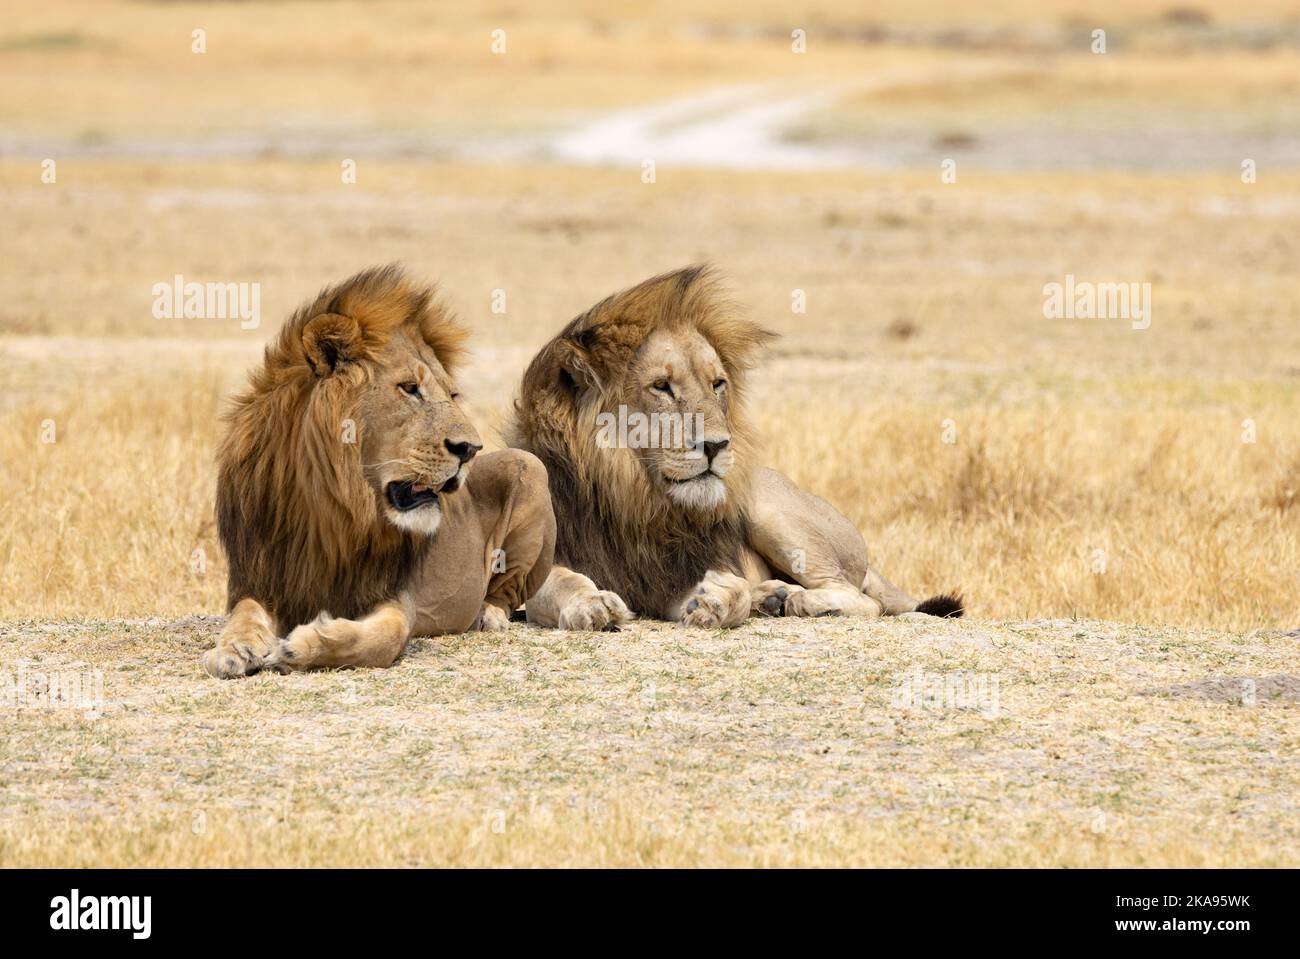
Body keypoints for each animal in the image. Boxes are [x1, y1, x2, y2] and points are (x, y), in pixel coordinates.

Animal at [201, 265, 553, 675]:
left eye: (451, 395)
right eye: (410, 388)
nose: (470, 449)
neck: (329, 508)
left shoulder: (394, 595)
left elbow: (384, 639)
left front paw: (302, 646)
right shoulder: (259, 579)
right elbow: (245, 614)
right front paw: (234, 648)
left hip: (530, 467)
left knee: (507, 590)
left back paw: (488, 614)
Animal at [501, 265, 961, 631]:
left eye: (717, 384)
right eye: (661, 386)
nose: (717, 445)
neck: (634, 500)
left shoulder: (679, 572)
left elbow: (734, 588)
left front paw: (720, 601)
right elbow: (562, 581)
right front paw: (591, 602)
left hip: (772, 512)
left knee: (859, 596)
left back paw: (796, 601)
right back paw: (774, 597)